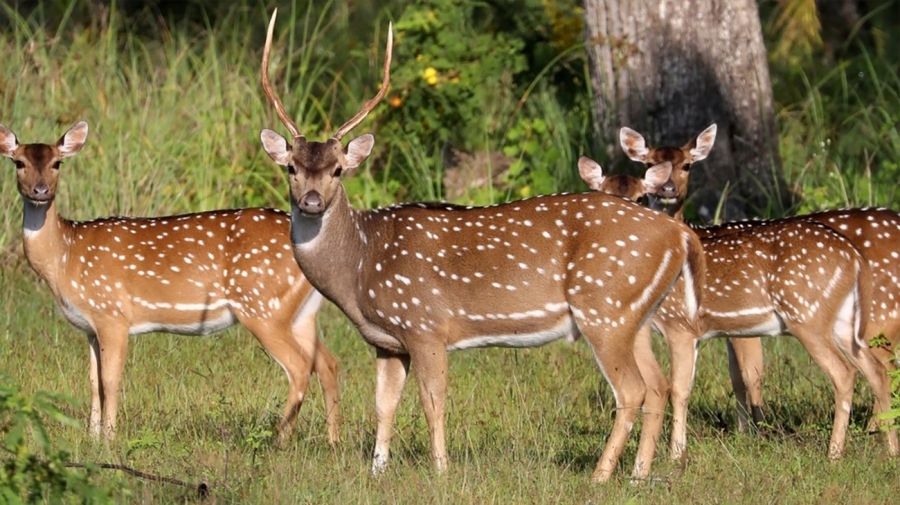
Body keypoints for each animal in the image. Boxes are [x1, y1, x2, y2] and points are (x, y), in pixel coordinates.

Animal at [0, 121, 340, 440]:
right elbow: (93, 382)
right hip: (300, 313)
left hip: (262, 306)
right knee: (327, 362)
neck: (65, 257)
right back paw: (332, 441)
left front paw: (109, 438)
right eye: (18, 162)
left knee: (300, 366)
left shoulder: (112, 314)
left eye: (57, 163)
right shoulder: (90, 328)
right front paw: (92, 437)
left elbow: (110, 381)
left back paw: (280, 439)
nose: (41, 191)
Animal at [256, 8, 708, 480]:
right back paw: (638, 475)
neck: (362, 266)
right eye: (291, 167)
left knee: (634, 389)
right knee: (658, 384)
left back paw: (601, 476)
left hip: (605, 307)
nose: (311, 201)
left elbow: (432, 402)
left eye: (338, 169)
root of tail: (680, 234)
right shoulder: (387, 342)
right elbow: (384, 404)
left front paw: (440, 469)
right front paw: (378, 469)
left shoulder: (425, 324)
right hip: (634, 314)